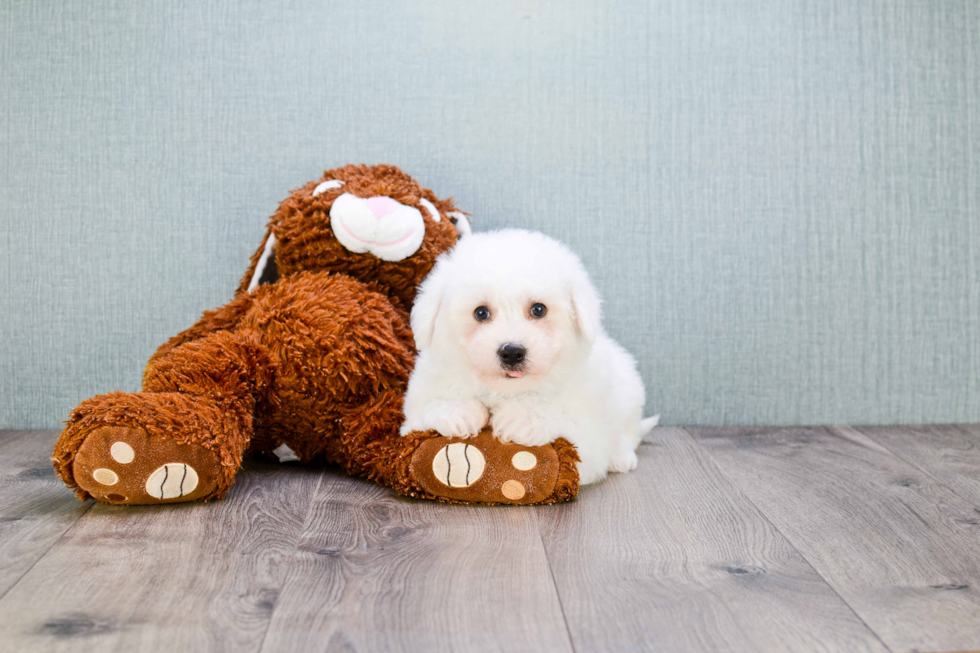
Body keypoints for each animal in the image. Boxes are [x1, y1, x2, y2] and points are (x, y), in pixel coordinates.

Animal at [398, 229, 660, 484]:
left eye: (538, 309)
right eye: (481, 313)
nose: (512, 352)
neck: (505, 391)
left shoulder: (588, 434)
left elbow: (563, 417)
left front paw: (522, 418)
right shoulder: (414, 410)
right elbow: (426, 411)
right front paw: (458, 412)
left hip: (628, 390)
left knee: (627, 432)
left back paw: (621, 457)